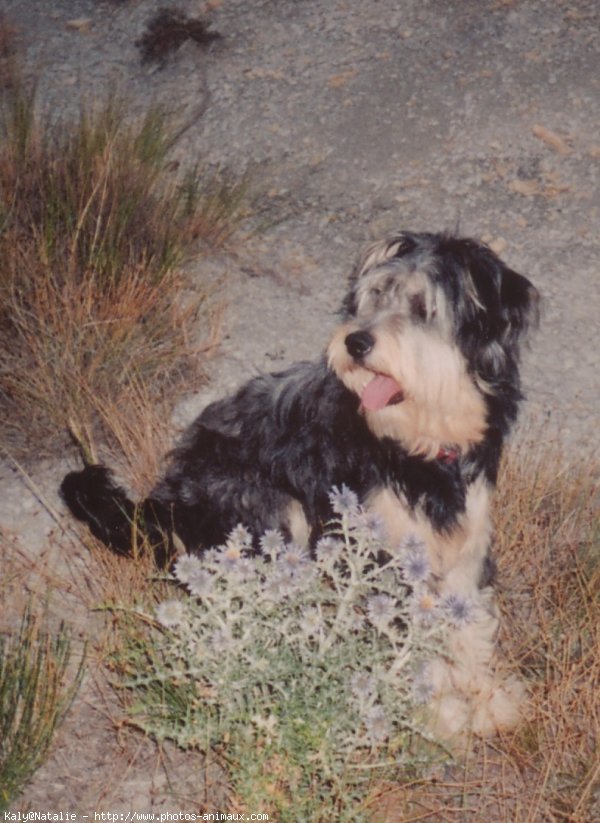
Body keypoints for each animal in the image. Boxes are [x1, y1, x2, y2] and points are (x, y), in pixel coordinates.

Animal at [61, 232, 540, 740]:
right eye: (375, 297)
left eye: (421, 306)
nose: (355, 341)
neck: (420, 445)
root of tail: (163, 502)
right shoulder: (382, 556)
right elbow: (409, 639)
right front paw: (439, 713)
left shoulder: (466, 545)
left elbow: (468, 628)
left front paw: (486, 698)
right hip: (269, 508)